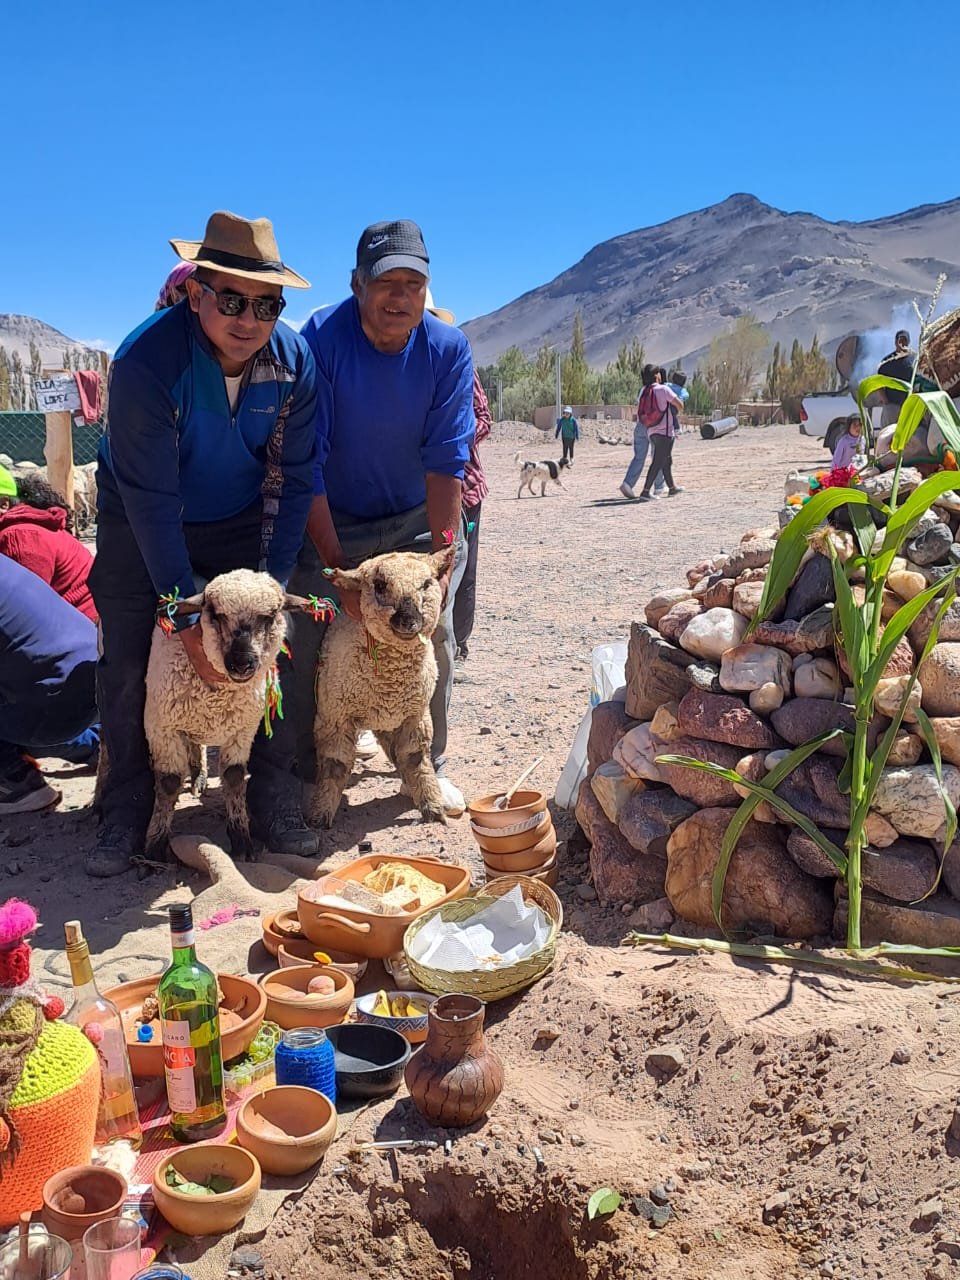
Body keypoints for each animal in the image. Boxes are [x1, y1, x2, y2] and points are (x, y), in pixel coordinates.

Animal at [143, 569, 307, 862]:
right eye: (216, 614)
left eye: (270, 616)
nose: (242, 663)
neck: (218, 697)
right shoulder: (162, 728)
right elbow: (170, 783)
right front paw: (154, 849)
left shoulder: (242, 731)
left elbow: (233, 777)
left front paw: (242, 841)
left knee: (197, 744)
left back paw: (199, 776)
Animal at [310, 546, 454, 829]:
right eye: (379, 585)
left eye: (426, 583)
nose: (409, 620)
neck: (390, 684)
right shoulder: (334, 718)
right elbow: (335, 763)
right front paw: (320, 815)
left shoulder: (414, 715)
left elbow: (415, 758)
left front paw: (432, 807)